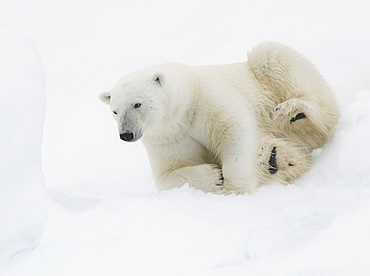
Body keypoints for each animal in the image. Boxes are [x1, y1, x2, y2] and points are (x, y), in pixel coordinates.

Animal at [99, 42, 340, 195]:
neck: (183, 113)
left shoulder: (206, 100)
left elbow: (235, 130)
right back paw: (277, 160)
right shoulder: (167, 137)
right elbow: (167, 175)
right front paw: (213, 176)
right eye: (115, 111)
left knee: (273, 57)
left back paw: (295, 113)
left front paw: (234, 186)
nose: (126, 134)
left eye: (137, 104)